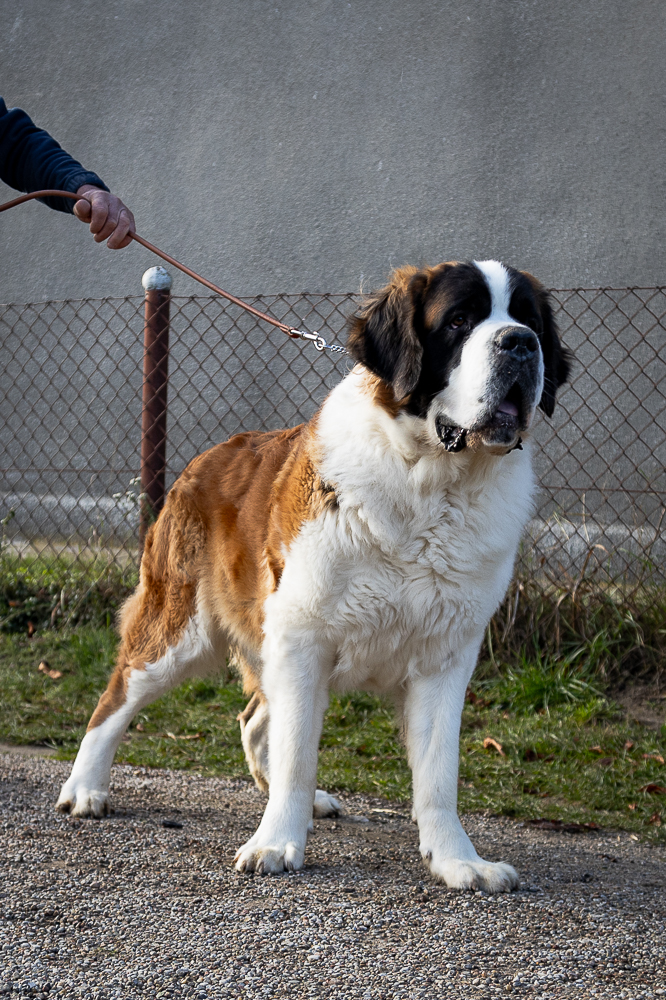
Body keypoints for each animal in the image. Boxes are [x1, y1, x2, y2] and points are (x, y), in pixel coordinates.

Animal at [56, 259, 570, 892]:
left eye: (529, 321)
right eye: (459, 321)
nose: (519, 344)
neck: (432, 481)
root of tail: (202, 460)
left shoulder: (444, 656)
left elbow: (438, 773)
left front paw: (457, 861)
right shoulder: (304, 639)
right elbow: (298, 753)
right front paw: (276, 842)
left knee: (255, 719)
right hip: (181, 630)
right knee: (118, 695)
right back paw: (85, 788)